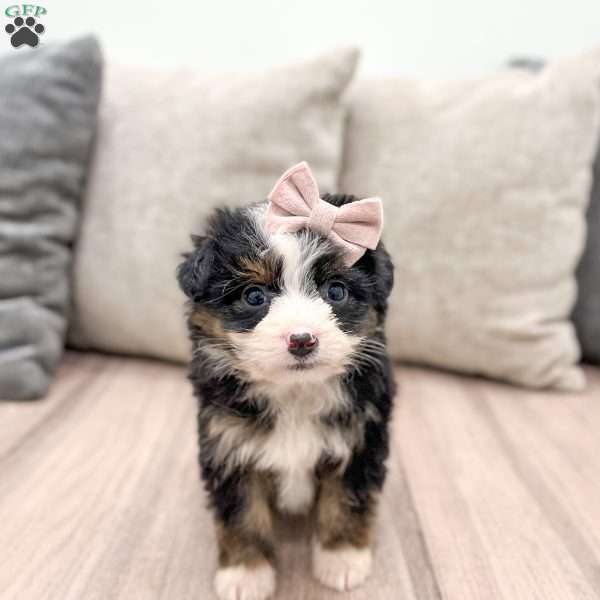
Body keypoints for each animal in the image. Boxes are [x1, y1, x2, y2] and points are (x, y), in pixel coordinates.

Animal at [177, 162, 394, 600]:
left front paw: (341, 558)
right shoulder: (229, 443)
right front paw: (246, 573)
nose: (302, 339)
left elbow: (347, 498)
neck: (294, 394)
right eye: (254, 296)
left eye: (336, 291)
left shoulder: (361, 437)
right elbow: (241, 511)